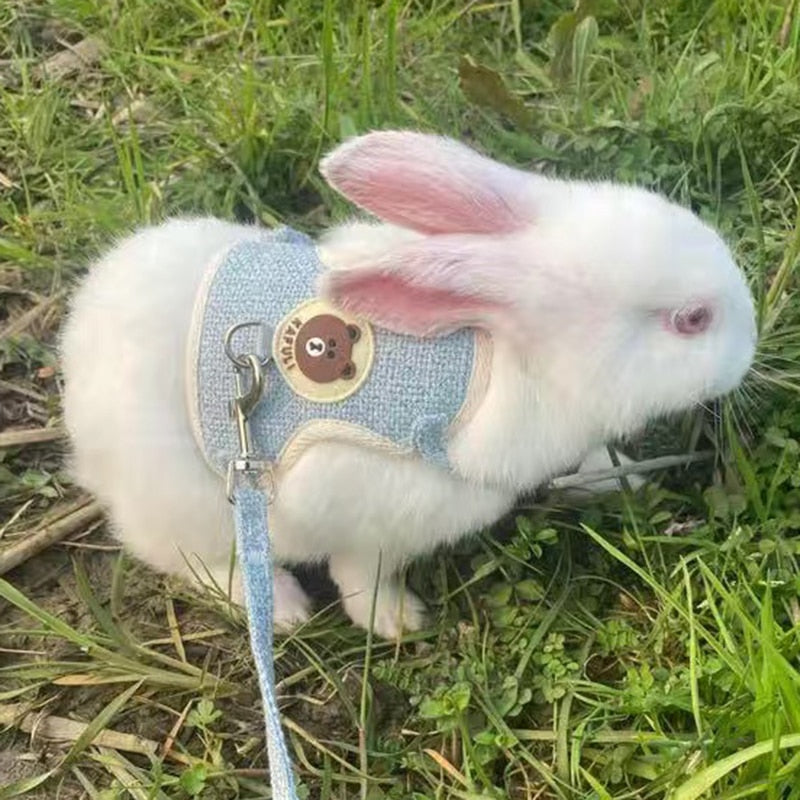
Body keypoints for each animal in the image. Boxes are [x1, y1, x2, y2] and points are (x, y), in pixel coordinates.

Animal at [60, 130, 757, 639]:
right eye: (692, 320)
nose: (751, 348)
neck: (503, 355)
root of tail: (77, 349)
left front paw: (620, 476)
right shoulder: (369, 511)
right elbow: (360, 574)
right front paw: (395, 621)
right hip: (195, 507)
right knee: (201, 562)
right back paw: (281, 609)